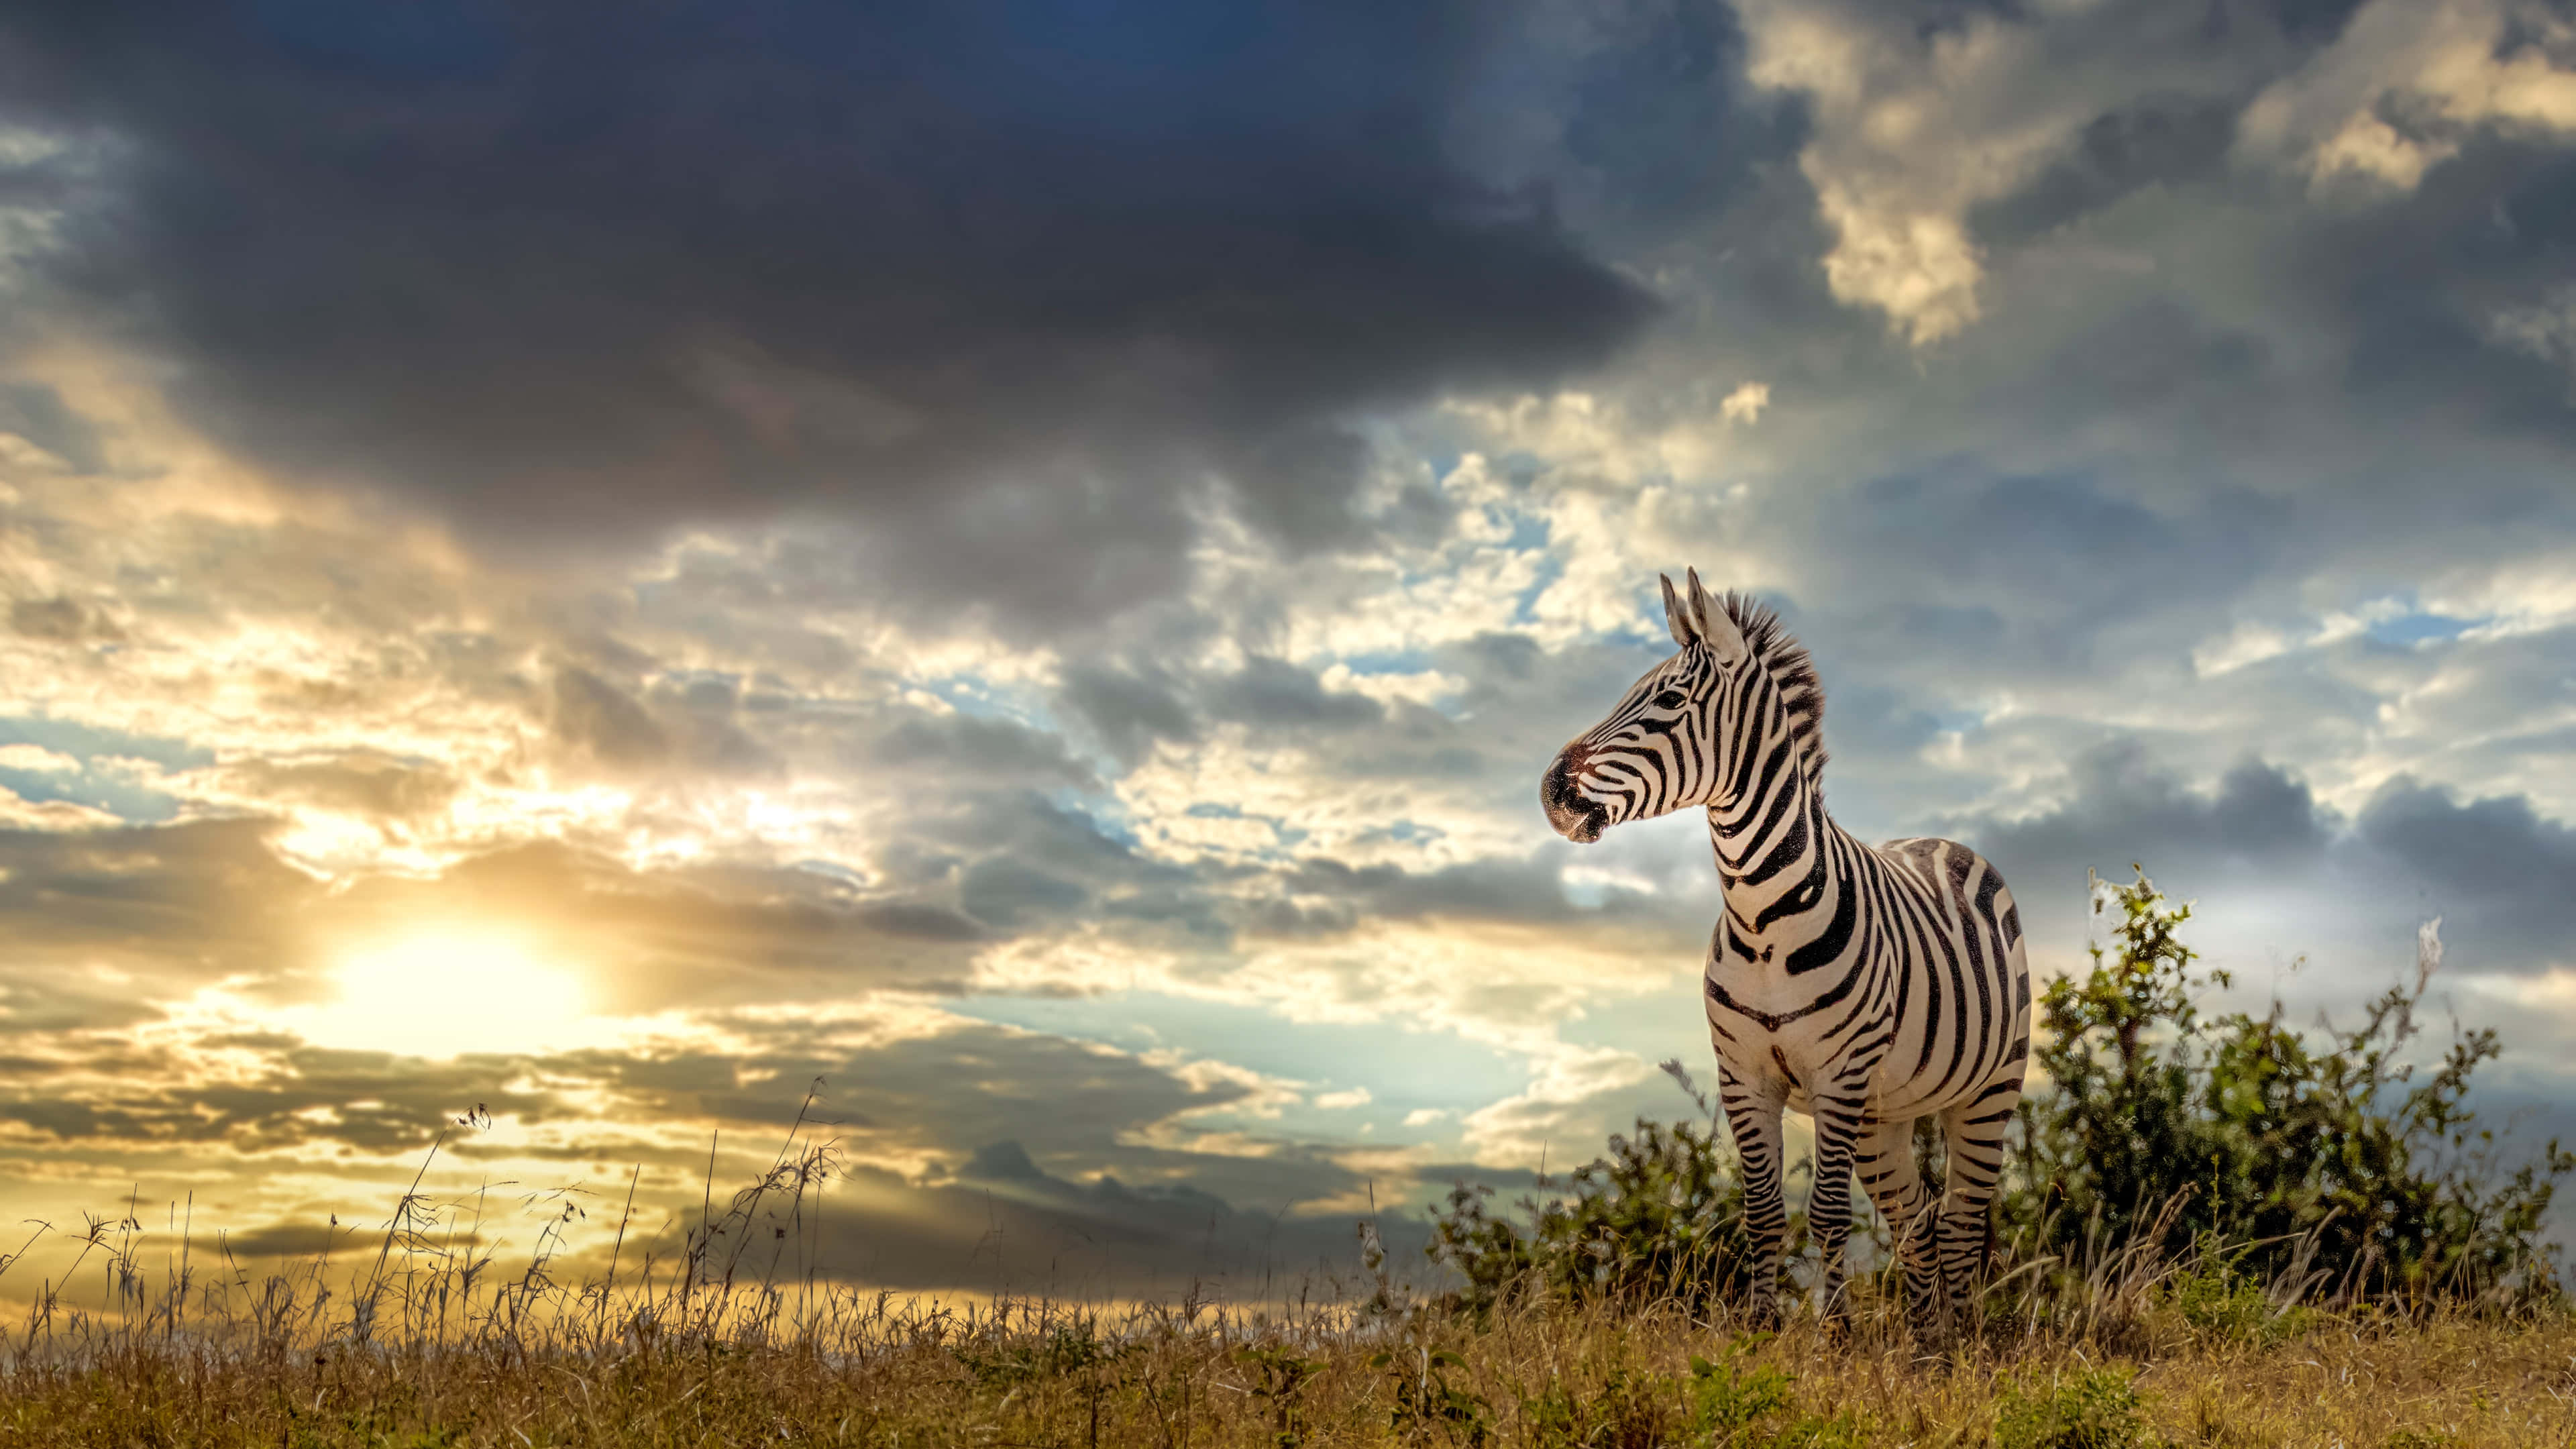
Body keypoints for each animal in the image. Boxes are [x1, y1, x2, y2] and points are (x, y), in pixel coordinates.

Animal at [1539, 569, 2029, 1335]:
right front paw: (1759, 1331)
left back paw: (1963, 1341)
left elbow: (1826, 1216)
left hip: (1987, 1090)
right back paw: (1926, 1346)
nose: (1553, 792)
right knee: (1917, 1220)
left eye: (1670, 700)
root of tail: (1940, 842)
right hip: (1886, 1113)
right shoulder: (1744, 1076)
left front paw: (1836, 1337)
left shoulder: (1838, 1076)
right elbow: (1763, 1213)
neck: (1763, 916)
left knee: (1958, 1222)